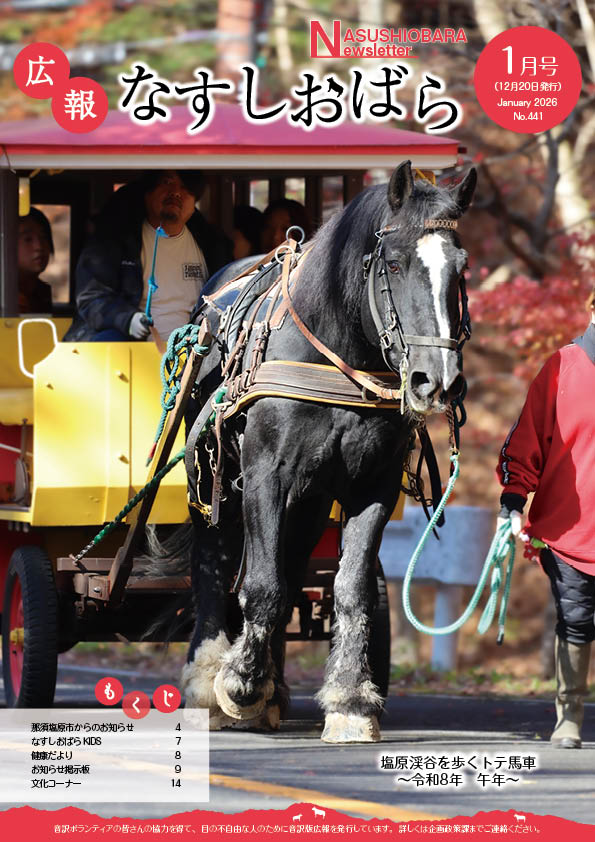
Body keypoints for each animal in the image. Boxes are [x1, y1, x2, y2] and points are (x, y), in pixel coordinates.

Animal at [179, 161, 476, 743]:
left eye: (460, 269)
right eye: (394, 262)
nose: (438, 380)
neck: (339, 354)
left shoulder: (371, 484)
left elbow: (351, 588)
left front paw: (351, 701)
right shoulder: (265, 475)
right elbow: (261, 586)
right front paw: (239, 685)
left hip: (311, 501)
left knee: (291, 568)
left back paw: (274, 689)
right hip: (212, 475)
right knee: (216, 563)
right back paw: (210, 682)